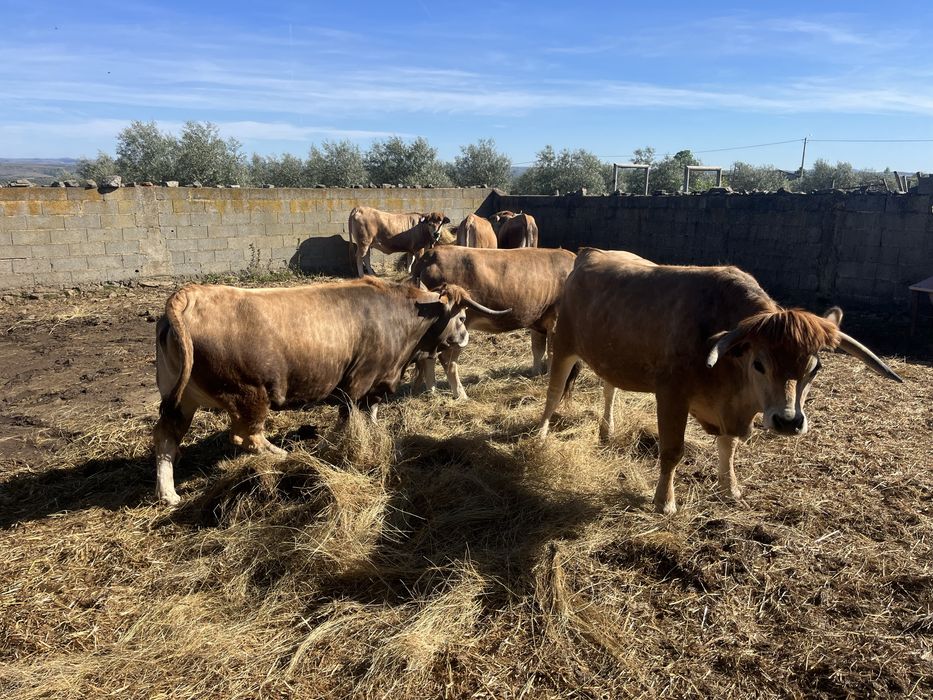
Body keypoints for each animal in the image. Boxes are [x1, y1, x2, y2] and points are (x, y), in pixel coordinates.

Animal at [153, 277, 508, 505]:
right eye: (461, 316)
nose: (465, 338)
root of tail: (187, 297)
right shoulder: (360, 381)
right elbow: (349, 415)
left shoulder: (372, 386)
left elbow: (368, 413)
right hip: (249, 395)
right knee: (246, 436)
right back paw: (285, 455)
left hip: (179, 399)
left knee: (165, 438)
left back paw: (169, 494)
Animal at [412, 246, 576, 399]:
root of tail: (430, 254)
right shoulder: (555, 321)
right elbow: (553, 353)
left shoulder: (538, 321)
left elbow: (538, 350)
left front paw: (536, 374)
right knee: (448, 360)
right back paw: (461, 395)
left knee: (430, 357)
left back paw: (432, 391)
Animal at [537, 248, 903, 515]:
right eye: (759, 364)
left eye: (814, 368)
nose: (788, 421)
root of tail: (589, 252)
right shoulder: (671, 394)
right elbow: (672, 451)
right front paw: (664, 502)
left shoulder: (730, 410)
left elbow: (729, 447)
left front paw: (731, 488)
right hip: (564, 343)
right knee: (553, 393)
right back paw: (540, 435)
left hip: (610, 356)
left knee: (609, 387)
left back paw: (606, 430)